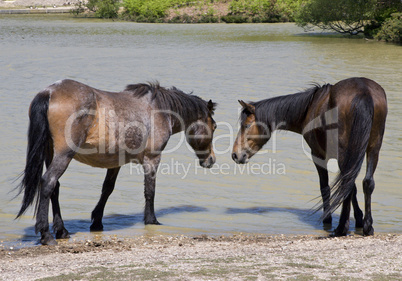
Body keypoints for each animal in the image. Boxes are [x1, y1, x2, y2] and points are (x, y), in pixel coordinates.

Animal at [16, 78, 217, 243]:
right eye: (214, 126)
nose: (211, 160)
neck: (159, 110)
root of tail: (49, 92)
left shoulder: (115, 163)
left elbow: (107, 189)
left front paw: (97, 222)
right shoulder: (152, 159)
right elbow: (150, 191)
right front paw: (152, 220)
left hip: (50, 153)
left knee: (54, 188)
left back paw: (62, 231)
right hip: (64, 155)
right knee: (48, 182)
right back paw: (46, 235)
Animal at [232, 77, 386, 236]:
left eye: (246, 125)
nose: (235, 154)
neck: (309, 109)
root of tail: (364, 92)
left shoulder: (318, 155)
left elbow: (326, 187)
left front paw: (328, 219)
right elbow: (352, 187)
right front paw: (359, 219)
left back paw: (341, 228)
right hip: (373, 148)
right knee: (367, 182)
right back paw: (367, 227)